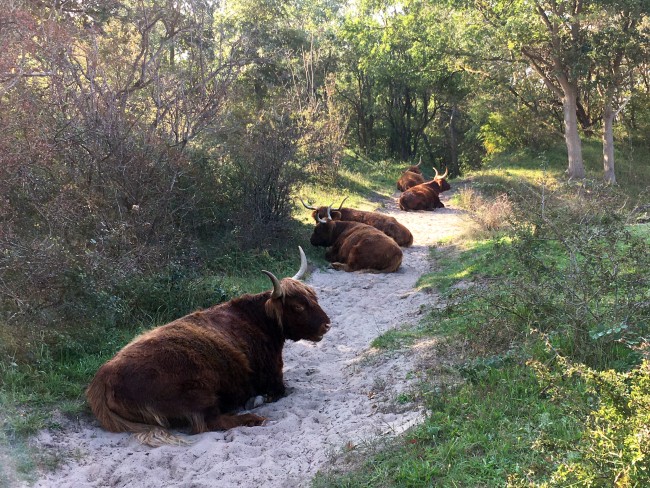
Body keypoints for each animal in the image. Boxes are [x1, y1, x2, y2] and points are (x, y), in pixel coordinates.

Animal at [86, 248, 330, 446]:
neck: (258, 319)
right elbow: (279, 391)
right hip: (197, 393)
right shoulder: (273, 377)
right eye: (298, 306)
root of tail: (103, 377)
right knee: (210, 421)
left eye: (314, 298)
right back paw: (253, 416)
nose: (327, 324)